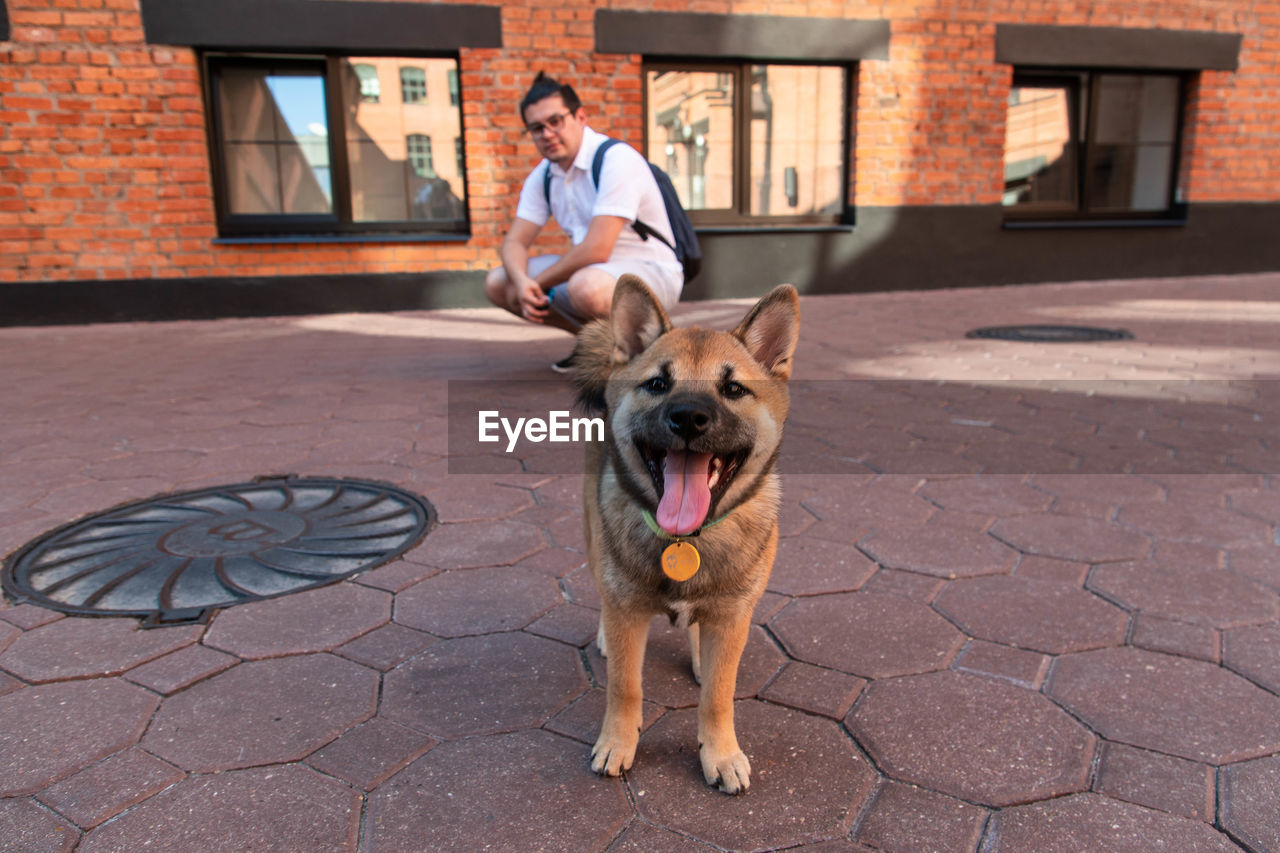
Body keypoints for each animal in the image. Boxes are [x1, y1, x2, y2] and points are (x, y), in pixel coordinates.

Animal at [573, 274, 798, 788]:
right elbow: (625, 687)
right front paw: (619, 741)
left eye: (733, 388)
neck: (684, 540)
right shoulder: (628, 612)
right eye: (658, 383)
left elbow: (718, 694)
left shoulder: (733, 617)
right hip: (594, 544)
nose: (689, 417)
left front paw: (720, 753)